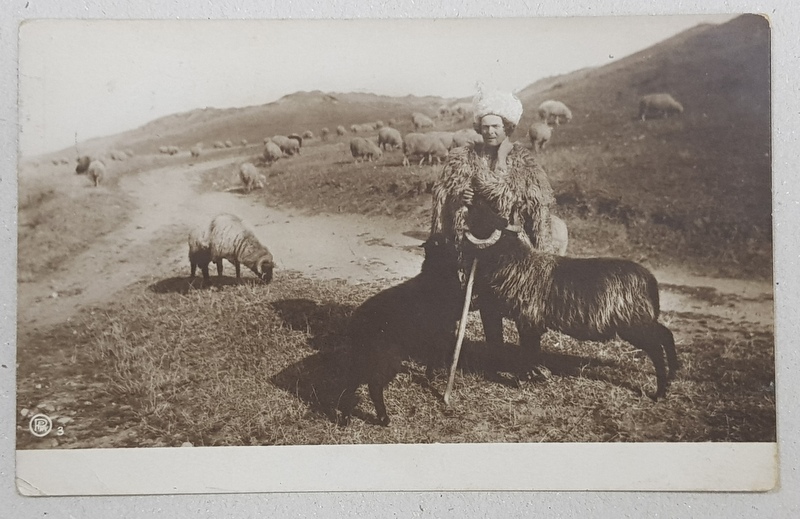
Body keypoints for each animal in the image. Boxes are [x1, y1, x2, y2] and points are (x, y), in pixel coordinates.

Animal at [340, 236, 462, 426]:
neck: (436, 274)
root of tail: (358, 324)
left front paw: (429, 376)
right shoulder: (443, 332)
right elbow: (436, 356)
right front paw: (435, 377)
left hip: (361, 358)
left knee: (350, 384)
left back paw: (345, 418)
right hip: (387, 359)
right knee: (374, 385)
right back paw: (384, 418)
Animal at [466, 219, 680, 398]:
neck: (515, 260)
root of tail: (650, 279)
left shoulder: (529, 320)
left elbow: (529, 350)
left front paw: (525, 377)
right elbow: (532, 349)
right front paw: (534, 375)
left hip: (634, 324)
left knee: (656, 348)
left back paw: (660, 391)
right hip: (643, 319)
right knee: (666, 335)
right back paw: (673, 374)